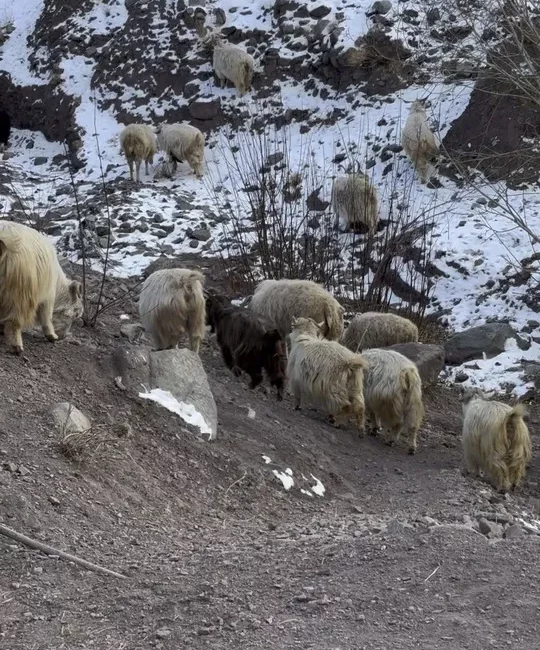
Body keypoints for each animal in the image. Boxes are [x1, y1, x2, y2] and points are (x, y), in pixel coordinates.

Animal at [0, 220, 83, 355]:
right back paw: (16, 345)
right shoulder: (48, 295)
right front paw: (51, 335)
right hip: (19, 292)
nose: (63, 336)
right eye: (74, 315)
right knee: (15, 320)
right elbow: (46, 316)